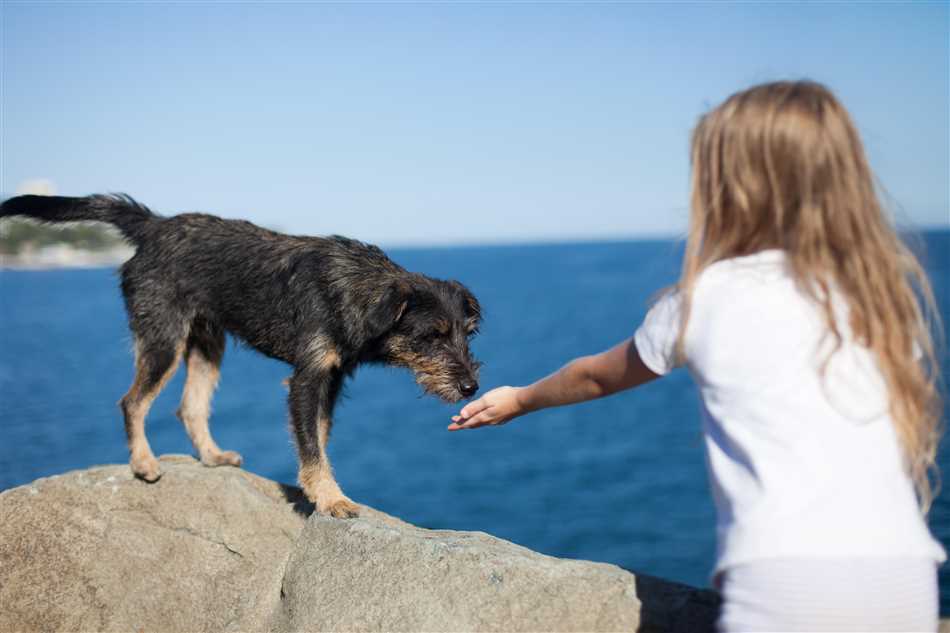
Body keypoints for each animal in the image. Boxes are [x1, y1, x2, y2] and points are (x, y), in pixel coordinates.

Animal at [1, 195, 484, 516]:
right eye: (433, 336)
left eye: (467, 334)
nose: (470, 386)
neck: (357, 291)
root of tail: (156, 226)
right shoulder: (306, 380)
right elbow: (311, 444)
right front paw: (330, 497)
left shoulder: (331, 381)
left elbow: (318, 438)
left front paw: (315, 491)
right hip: (163, 339)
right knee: (132, 401)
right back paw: (143, 462)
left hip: (206, 344)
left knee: (189, 406)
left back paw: (211, 456)